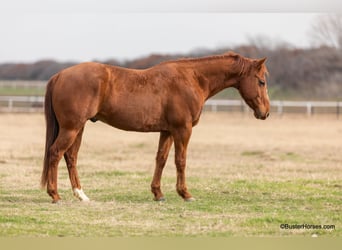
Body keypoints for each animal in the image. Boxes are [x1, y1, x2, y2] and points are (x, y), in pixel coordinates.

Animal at [40, 51, 270, 202]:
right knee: (55, 153)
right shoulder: (183, 129)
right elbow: (180, 161)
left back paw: (81, 194)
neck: (191, 79)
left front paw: (158, 193)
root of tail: (60, 75)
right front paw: (185, 193)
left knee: (70, 157)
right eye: (261, 81)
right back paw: (55, 195)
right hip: (71, 128)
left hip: (78, 128)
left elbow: (161, 159)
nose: (265, 112)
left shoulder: (167, 131)